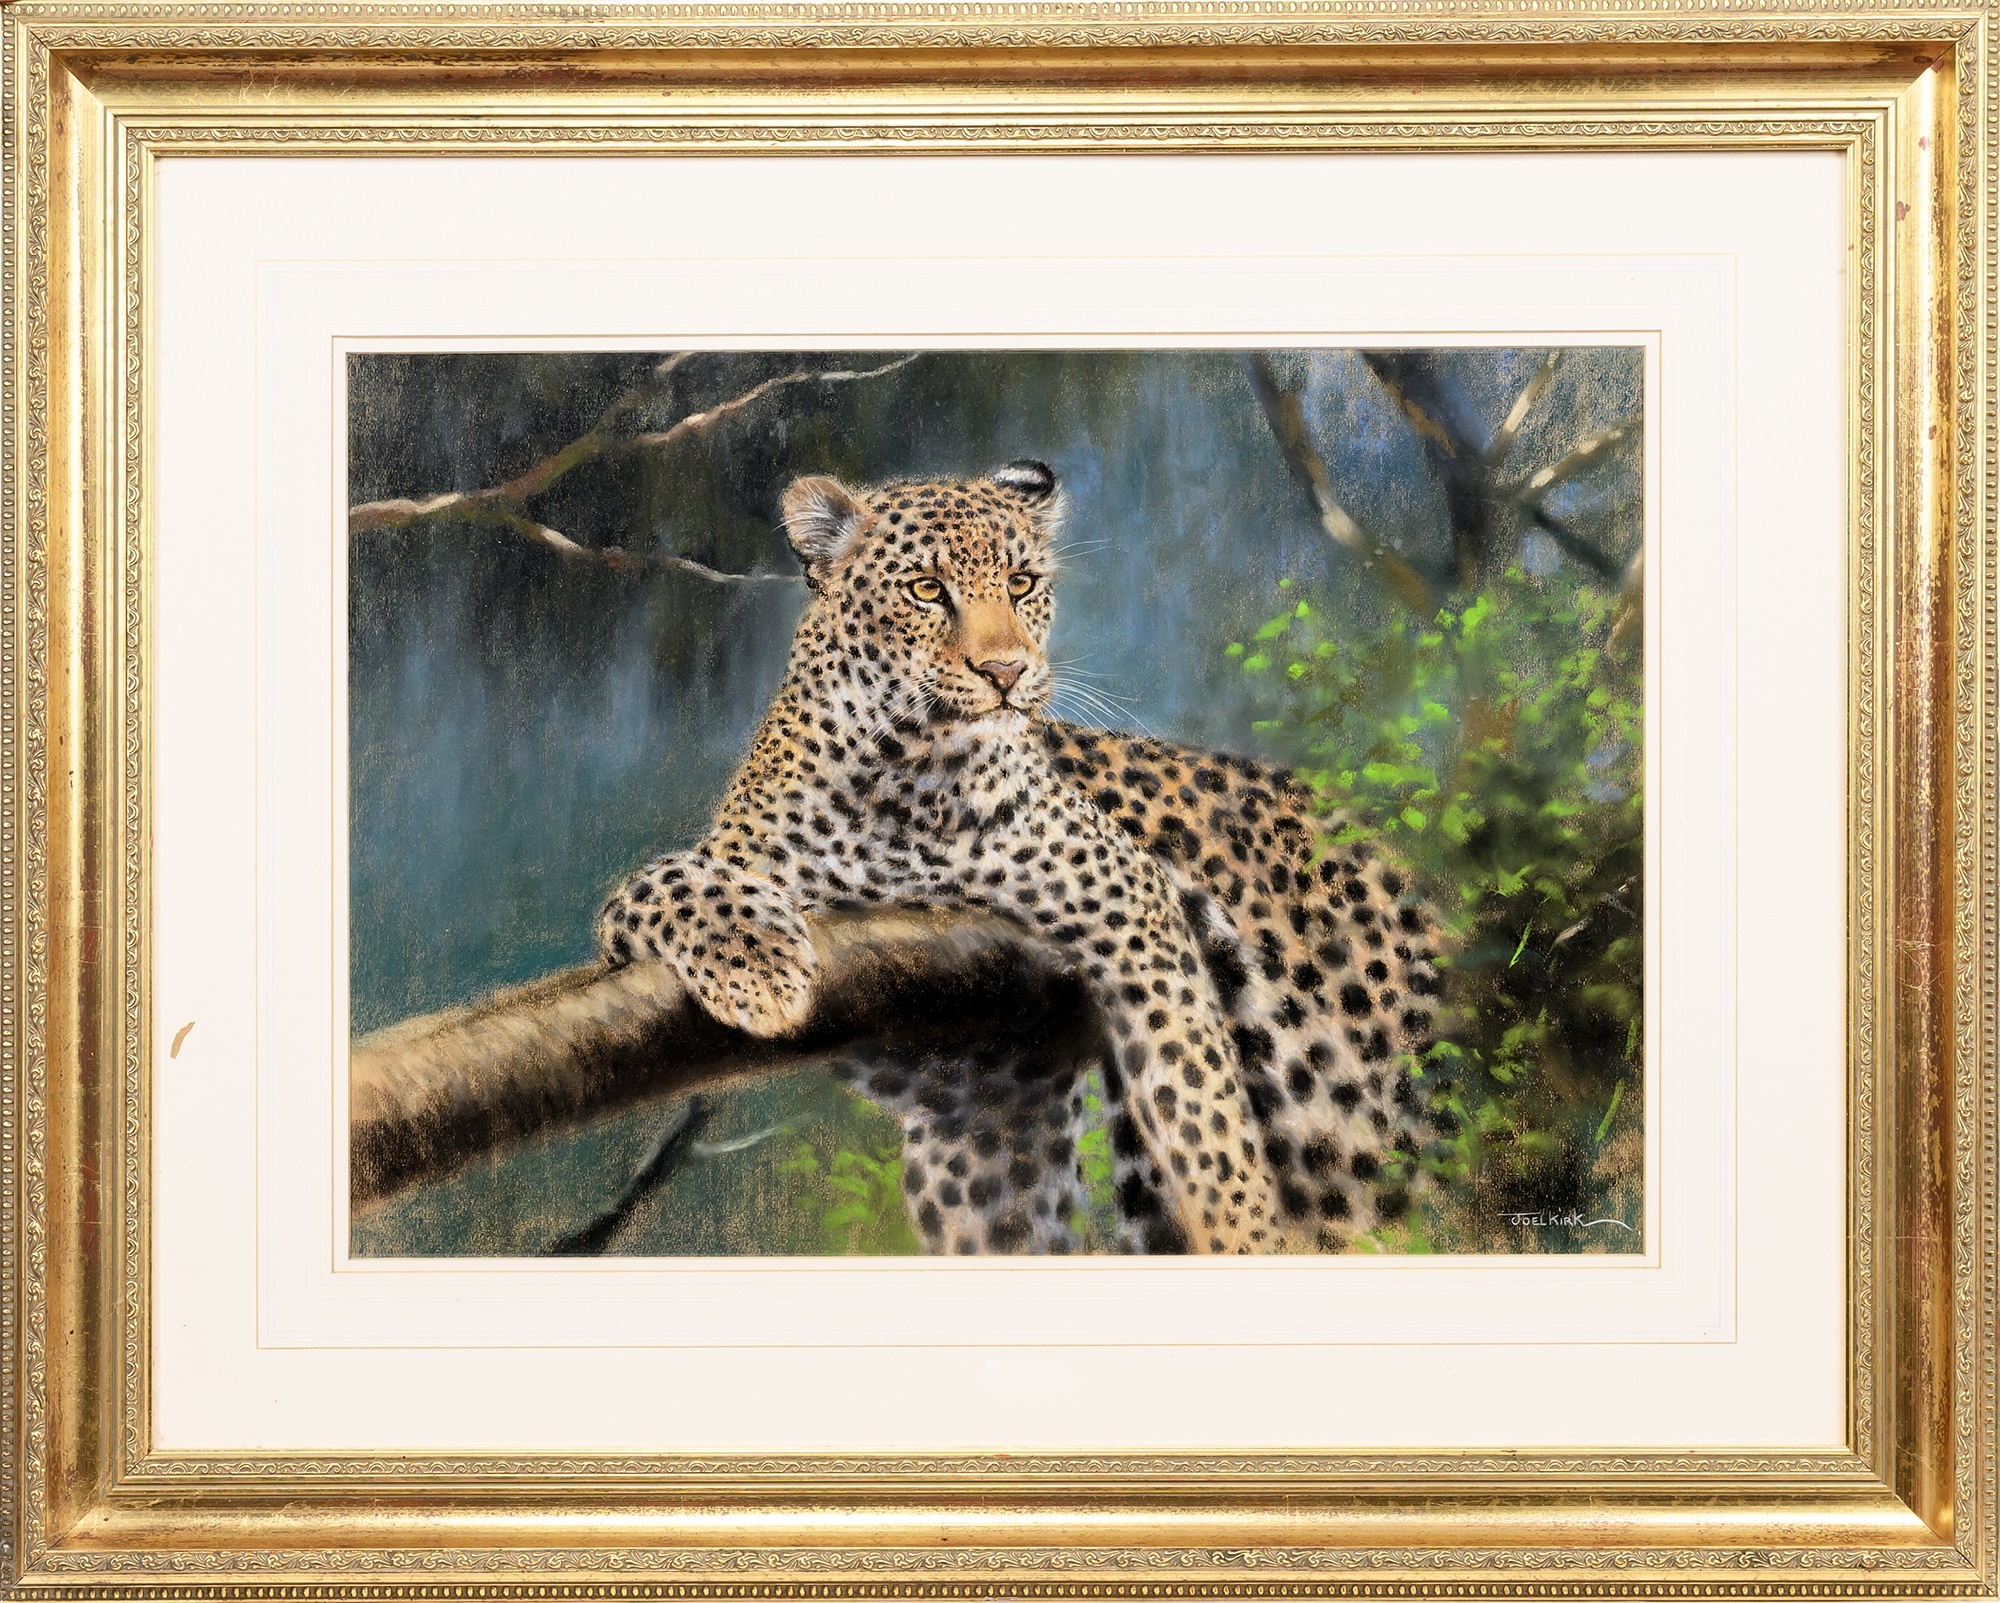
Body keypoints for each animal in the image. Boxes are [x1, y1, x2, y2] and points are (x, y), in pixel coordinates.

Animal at [598, 460, 1450, 1254]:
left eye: (1021, 583)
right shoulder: (978, 1106)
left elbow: (1200, 1100)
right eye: (924, 589)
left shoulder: (1134, 903)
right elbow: (663, 885)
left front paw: (1244, 1234)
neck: (913, 776)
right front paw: (756, 965)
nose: (1005, 671)